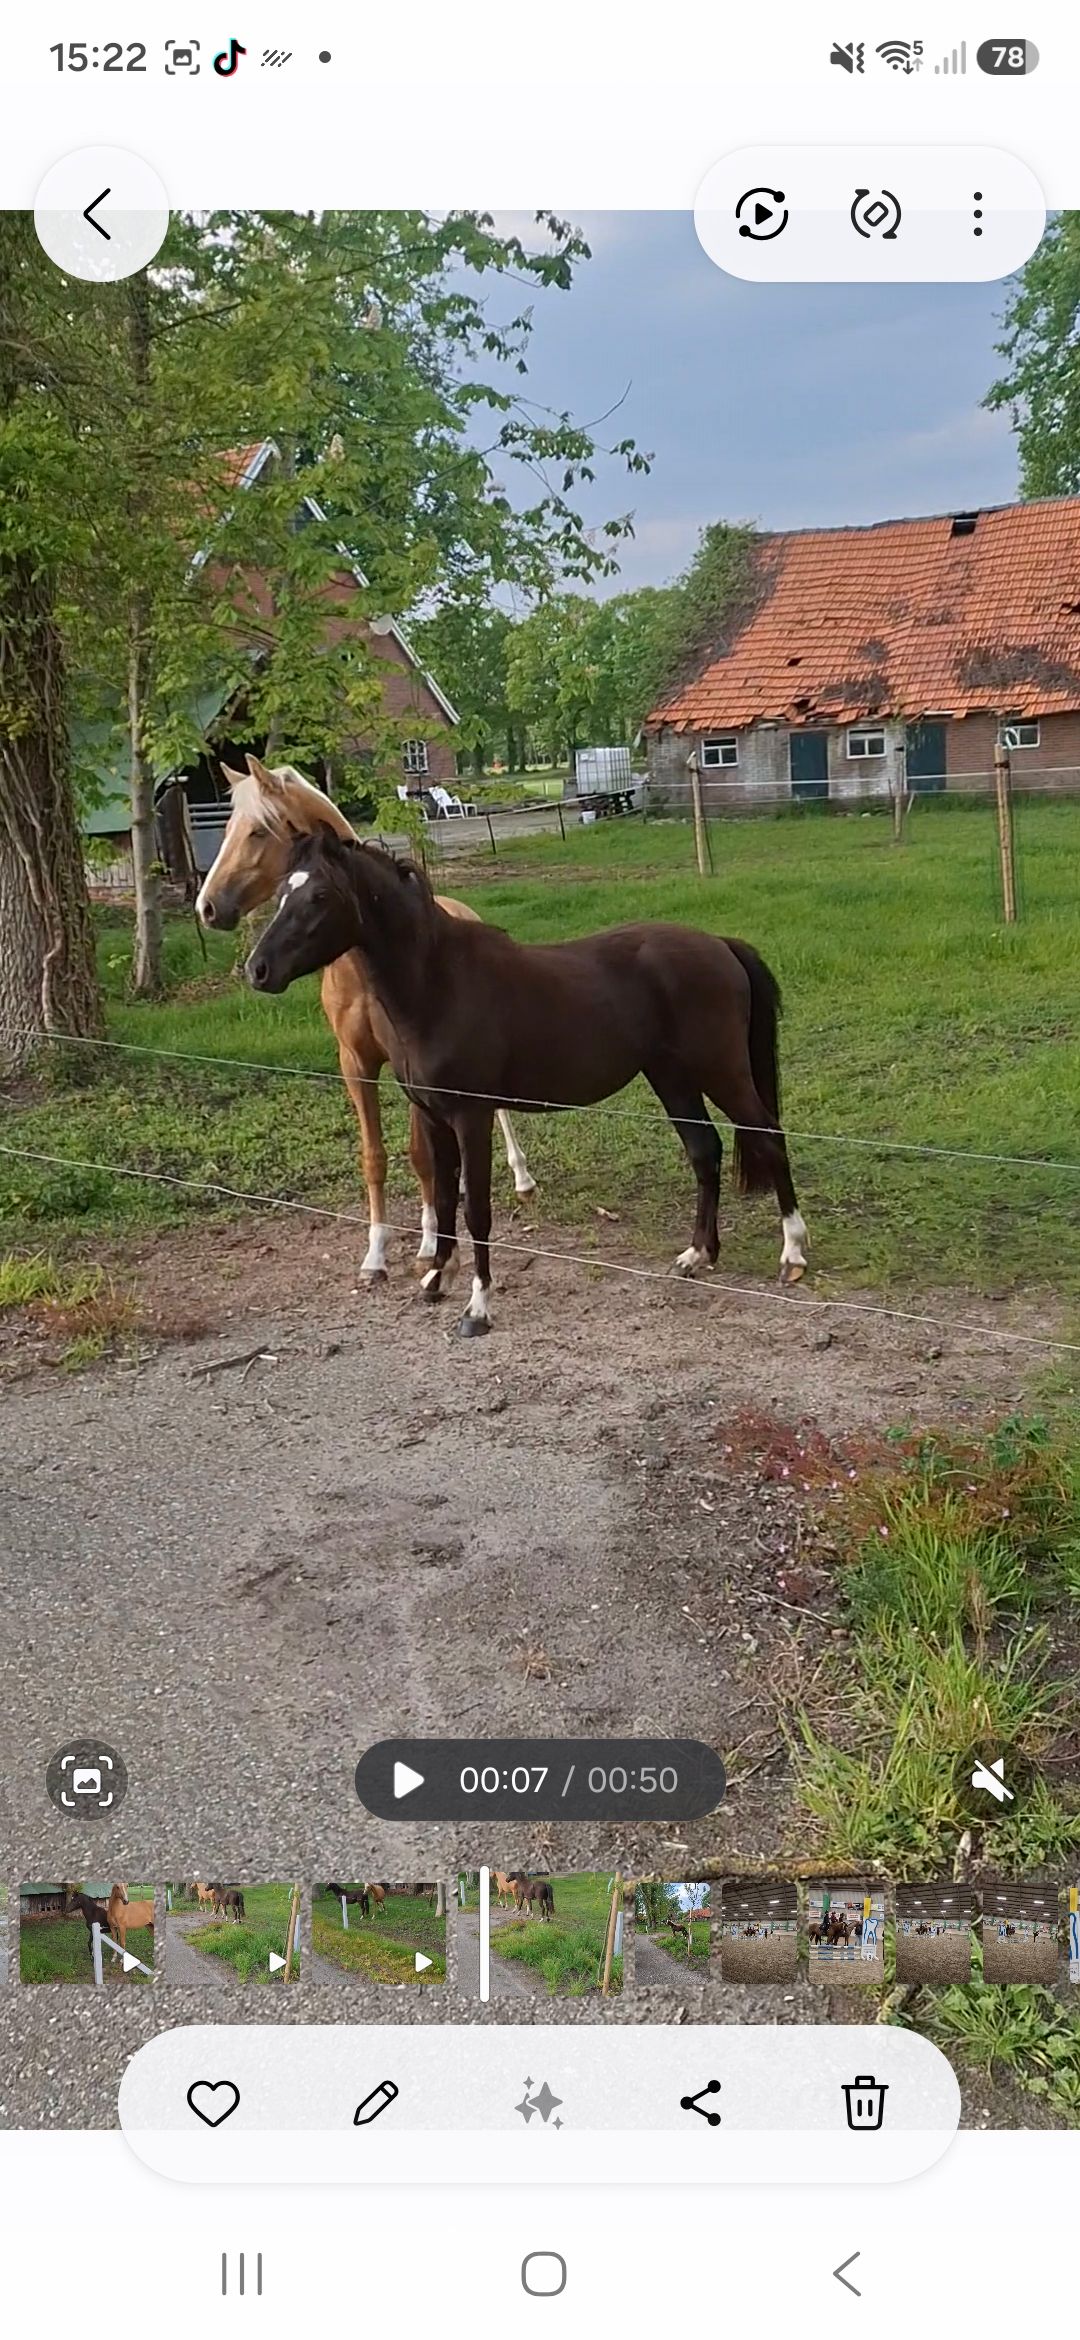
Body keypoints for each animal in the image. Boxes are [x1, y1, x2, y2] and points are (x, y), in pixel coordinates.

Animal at [195, 755, 534, 1281]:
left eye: (256, 831)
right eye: (227, 827)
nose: (207, 907)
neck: (366, 972)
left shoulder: (406, 1068)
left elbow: (418, 1156)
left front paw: (429, 1242)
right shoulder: (355, 1063)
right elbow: (375, 1156)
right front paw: (375, 1252)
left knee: (498, 1112)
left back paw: (521, 1178)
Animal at [244, 830, 809, 1336]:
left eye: (319, 895)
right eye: (282, 892)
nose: (257, 970)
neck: (439, 984)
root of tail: (720, 946)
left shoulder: (470, 1118)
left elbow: (475, 1210)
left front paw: (477, 1308)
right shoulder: (434, 1119)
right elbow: (444, 1200)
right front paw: (434, 1280)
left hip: (722, 1071)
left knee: (769, 1136)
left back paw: (793, 1253)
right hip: (672, 1078)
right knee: (704, 1150)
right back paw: (698, 1253)